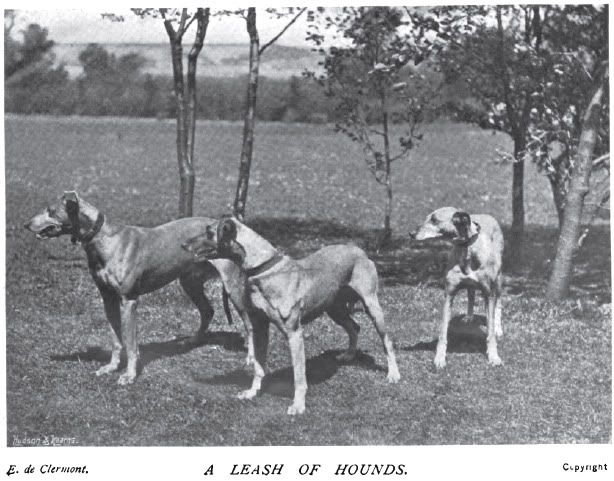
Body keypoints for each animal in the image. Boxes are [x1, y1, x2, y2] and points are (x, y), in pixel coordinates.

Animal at [22, 190, 232, 382]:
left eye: (50, 210)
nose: (26, 225)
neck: (105, 238)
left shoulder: (129, 301)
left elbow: (130, 344)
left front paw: (130, 375)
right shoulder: (108, 298)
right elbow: (116, 339)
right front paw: (111, 367)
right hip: (190, 282)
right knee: (207, 311)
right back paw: (192, 340)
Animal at [182, 216, 404, 414]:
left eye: (209, 232)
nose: (183, 244)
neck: (263, 268)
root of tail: (359, 250)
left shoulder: (294, 334)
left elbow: (299, 376)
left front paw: (298, 406)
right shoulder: (260, 328)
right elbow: (258, 367)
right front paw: (252, 392)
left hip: (372, 306)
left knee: (387, 341)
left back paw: (393, 373)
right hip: (335, 310)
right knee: (354, 327)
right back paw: (348, 354)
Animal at [414, 205, 506, 368]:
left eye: (434, 219)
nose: (412, 234)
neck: (467, 248)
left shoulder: (489, 293)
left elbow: (490, 333)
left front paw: (494, 356)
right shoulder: (449, 295)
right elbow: (443, 332)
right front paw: (440, 357)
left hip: (498, 280)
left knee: (498, 304)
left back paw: (497, 328)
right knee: (471, 292)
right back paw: (469, 317)